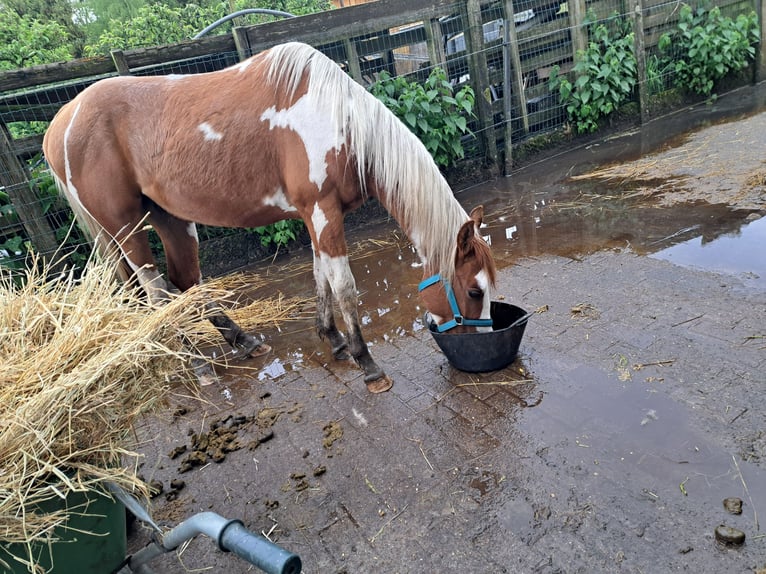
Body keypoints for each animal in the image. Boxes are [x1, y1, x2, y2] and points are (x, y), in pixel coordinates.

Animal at [43, 39, 498, 392]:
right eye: (474, 291)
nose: (484, 341)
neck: (341, 122)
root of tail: (60, 123)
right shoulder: (322, 211)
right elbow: (344, 286)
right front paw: (367, 364)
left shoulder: (316, 215)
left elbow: (321, 278)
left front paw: (332, 339)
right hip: (127, 227)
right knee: (158, 296)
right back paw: (199, 366)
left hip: (170, 217)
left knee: (187, 286)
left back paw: (243, 342)